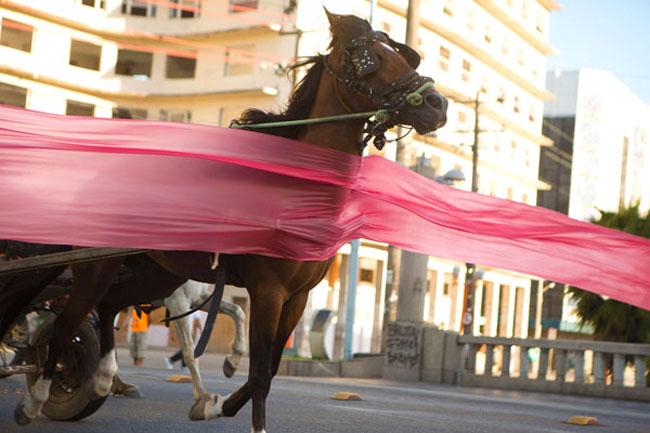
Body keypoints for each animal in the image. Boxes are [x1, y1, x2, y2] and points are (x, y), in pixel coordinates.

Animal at [11, 11, 446, 432]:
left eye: (402, 54)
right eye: (369, 58)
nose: (437, 103)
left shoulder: (298, 297)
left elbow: (269, 369)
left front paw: (213, 404)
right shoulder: (267, 290)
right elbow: (259, 374)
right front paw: (236, 413)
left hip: (153, 273)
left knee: (106, 307)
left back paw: (102, 378)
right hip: (98, 265)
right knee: (67, 323)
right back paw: (39, 395)